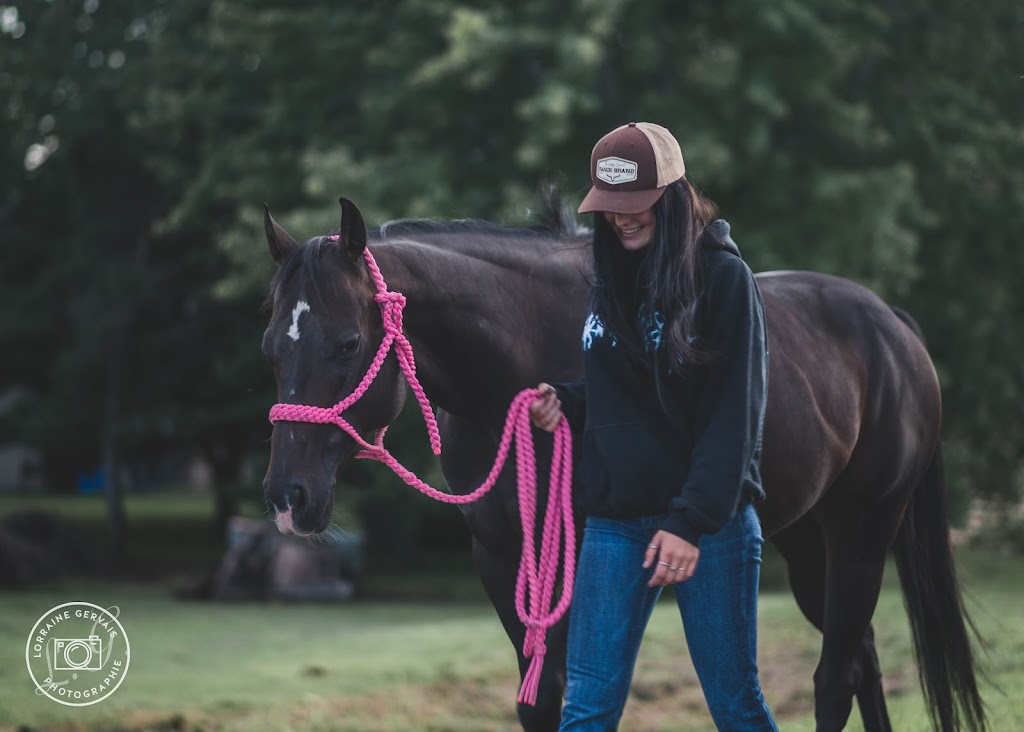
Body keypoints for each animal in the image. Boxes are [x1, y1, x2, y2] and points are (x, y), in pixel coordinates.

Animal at [258, 196, 983, 732]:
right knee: (861, 658)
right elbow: (538, 703)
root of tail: (891, 325)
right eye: (271, 344)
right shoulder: (501, 557)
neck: (518, 358)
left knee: (836, 677)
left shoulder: (574, 556)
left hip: (863, 529)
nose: (288, 496)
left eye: (347, 342)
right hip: (806, 541)